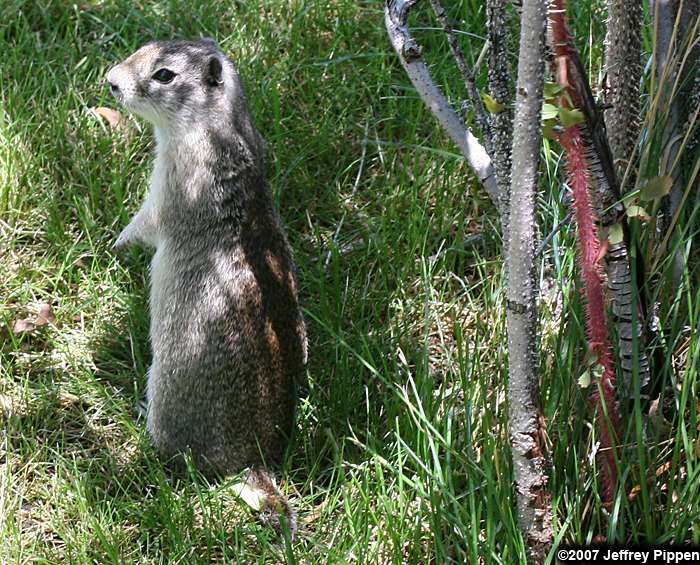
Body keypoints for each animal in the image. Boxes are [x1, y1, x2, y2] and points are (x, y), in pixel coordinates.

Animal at [106, 39, 307, 536]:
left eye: (164, 74)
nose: (111, 81)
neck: (219, 124)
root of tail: (254, 462)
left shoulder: (172, 178)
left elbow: (147, 221)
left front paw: (113, 244)